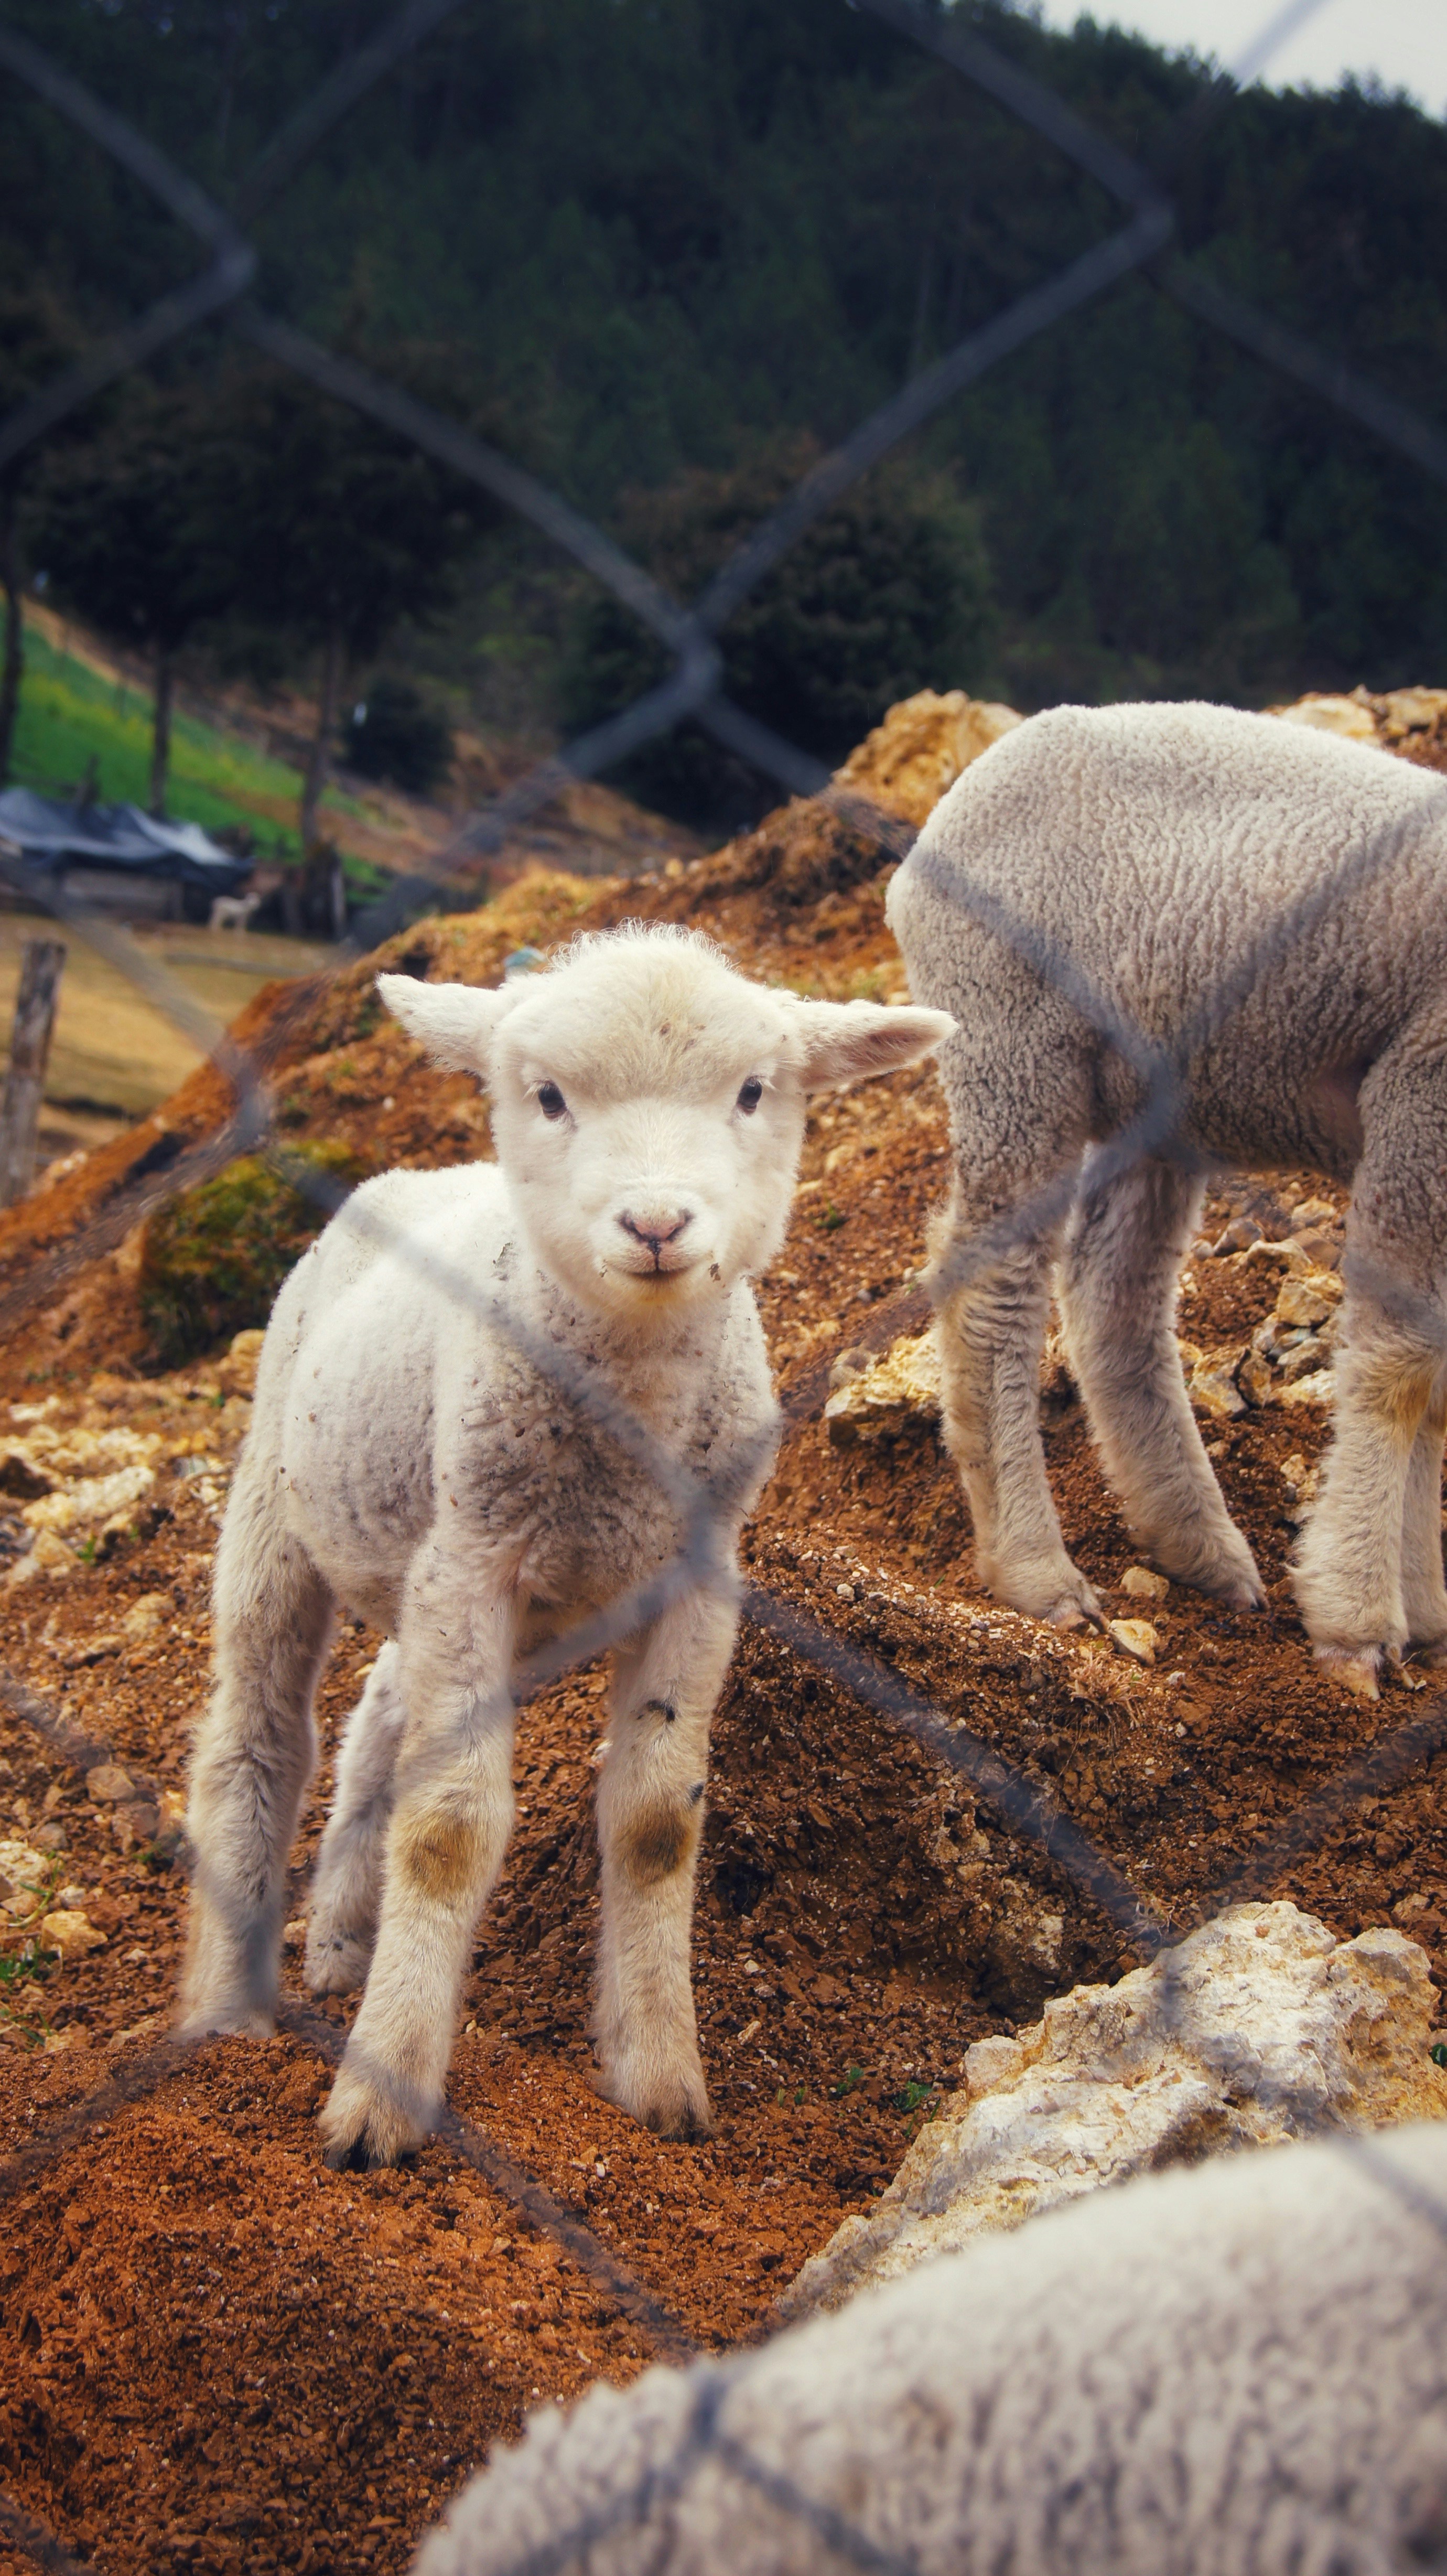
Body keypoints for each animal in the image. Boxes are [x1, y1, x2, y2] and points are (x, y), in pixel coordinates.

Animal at [176, 925, 951, 2167]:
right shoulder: (475, 1565)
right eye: (546, 1096)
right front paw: (382, 2099)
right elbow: (448, 1830)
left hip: (458, 1570)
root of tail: (420, 1175)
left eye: (753, 1091)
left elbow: (654, 1828)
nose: (656, 1224)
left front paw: (659, 2080)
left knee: (378, 1711)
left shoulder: (694, 1581)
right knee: (258, 1732)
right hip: (283, 1507)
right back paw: (225, 2019)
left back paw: (343, 1939)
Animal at [885, 699, 1447, 1695]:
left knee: (1114, 1297)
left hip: (1157, 1092)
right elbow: (1404, 1366)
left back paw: (1198, 1548)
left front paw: (1421, 1609)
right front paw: (1362, 1617)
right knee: (998, 1290)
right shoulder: (1420, 1086)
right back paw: (1035, 1569)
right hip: (1012, 1043)